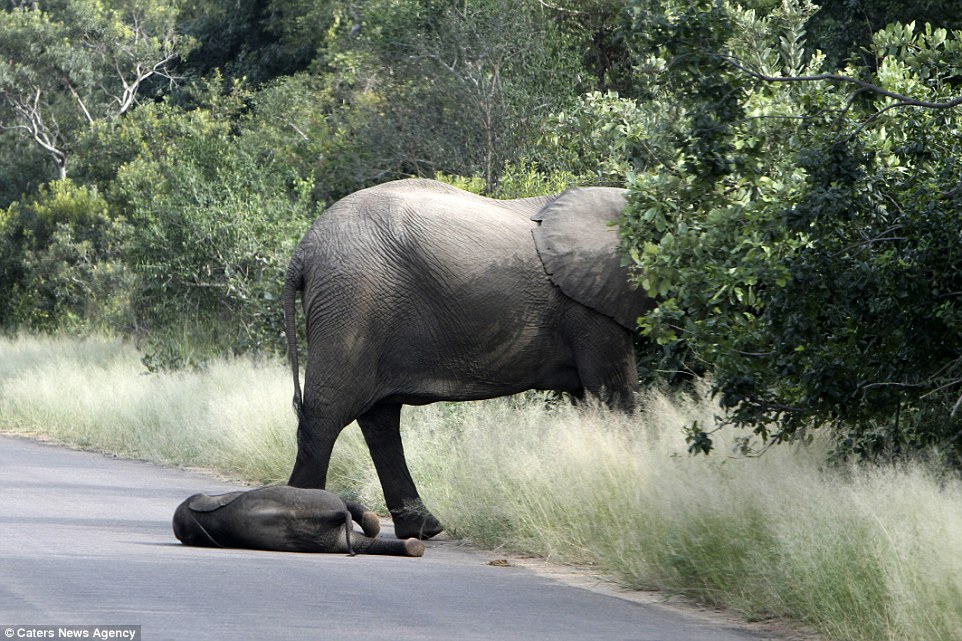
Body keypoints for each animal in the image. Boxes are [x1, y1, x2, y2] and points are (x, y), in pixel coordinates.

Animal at [282, 179, 648, 540]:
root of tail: (303, 249)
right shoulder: (592, 308)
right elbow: (616, 398)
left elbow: (595, 402)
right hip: (353, 301)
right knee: (327, 415)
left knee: (380, 420)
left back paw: (423, 529)